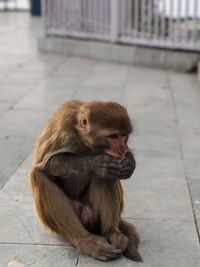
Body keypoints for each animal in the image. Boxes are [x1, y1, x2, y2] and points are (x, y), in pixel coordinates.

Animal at [29, 100, 142, 262]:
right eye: (113, 136)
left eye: (123, 136)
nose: (121, 149)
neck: (84, 140)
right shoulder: (62, 128)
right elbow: (48, 162)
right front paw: (96, 164)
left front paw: (129, 165)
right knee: (38, 176)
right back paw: (85, 240)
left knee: (107, 176)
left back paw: (111, 232)